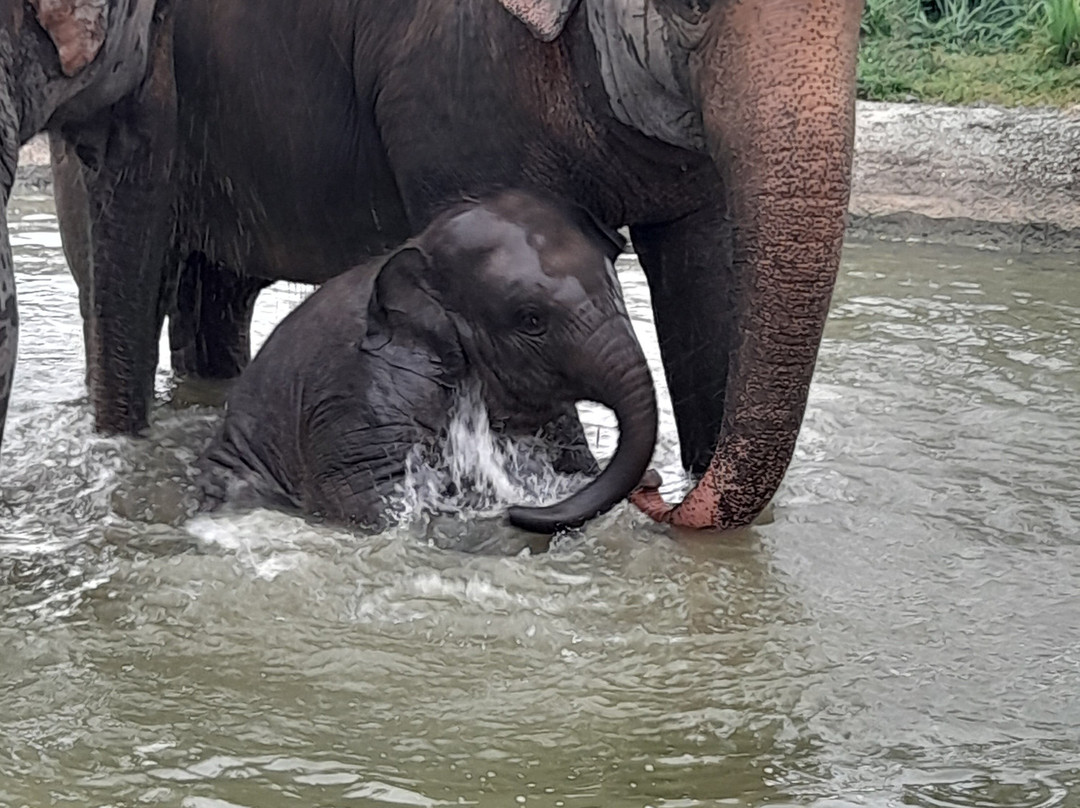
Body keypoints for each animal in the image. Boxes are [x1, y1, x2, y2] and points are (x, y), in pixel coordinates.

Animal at [196, 190, 658, 535]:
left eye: (615, 286)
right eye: (531, 320)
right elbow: (374, 497)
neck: (419, 249)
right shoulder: (361, 398)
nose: (516, 513)